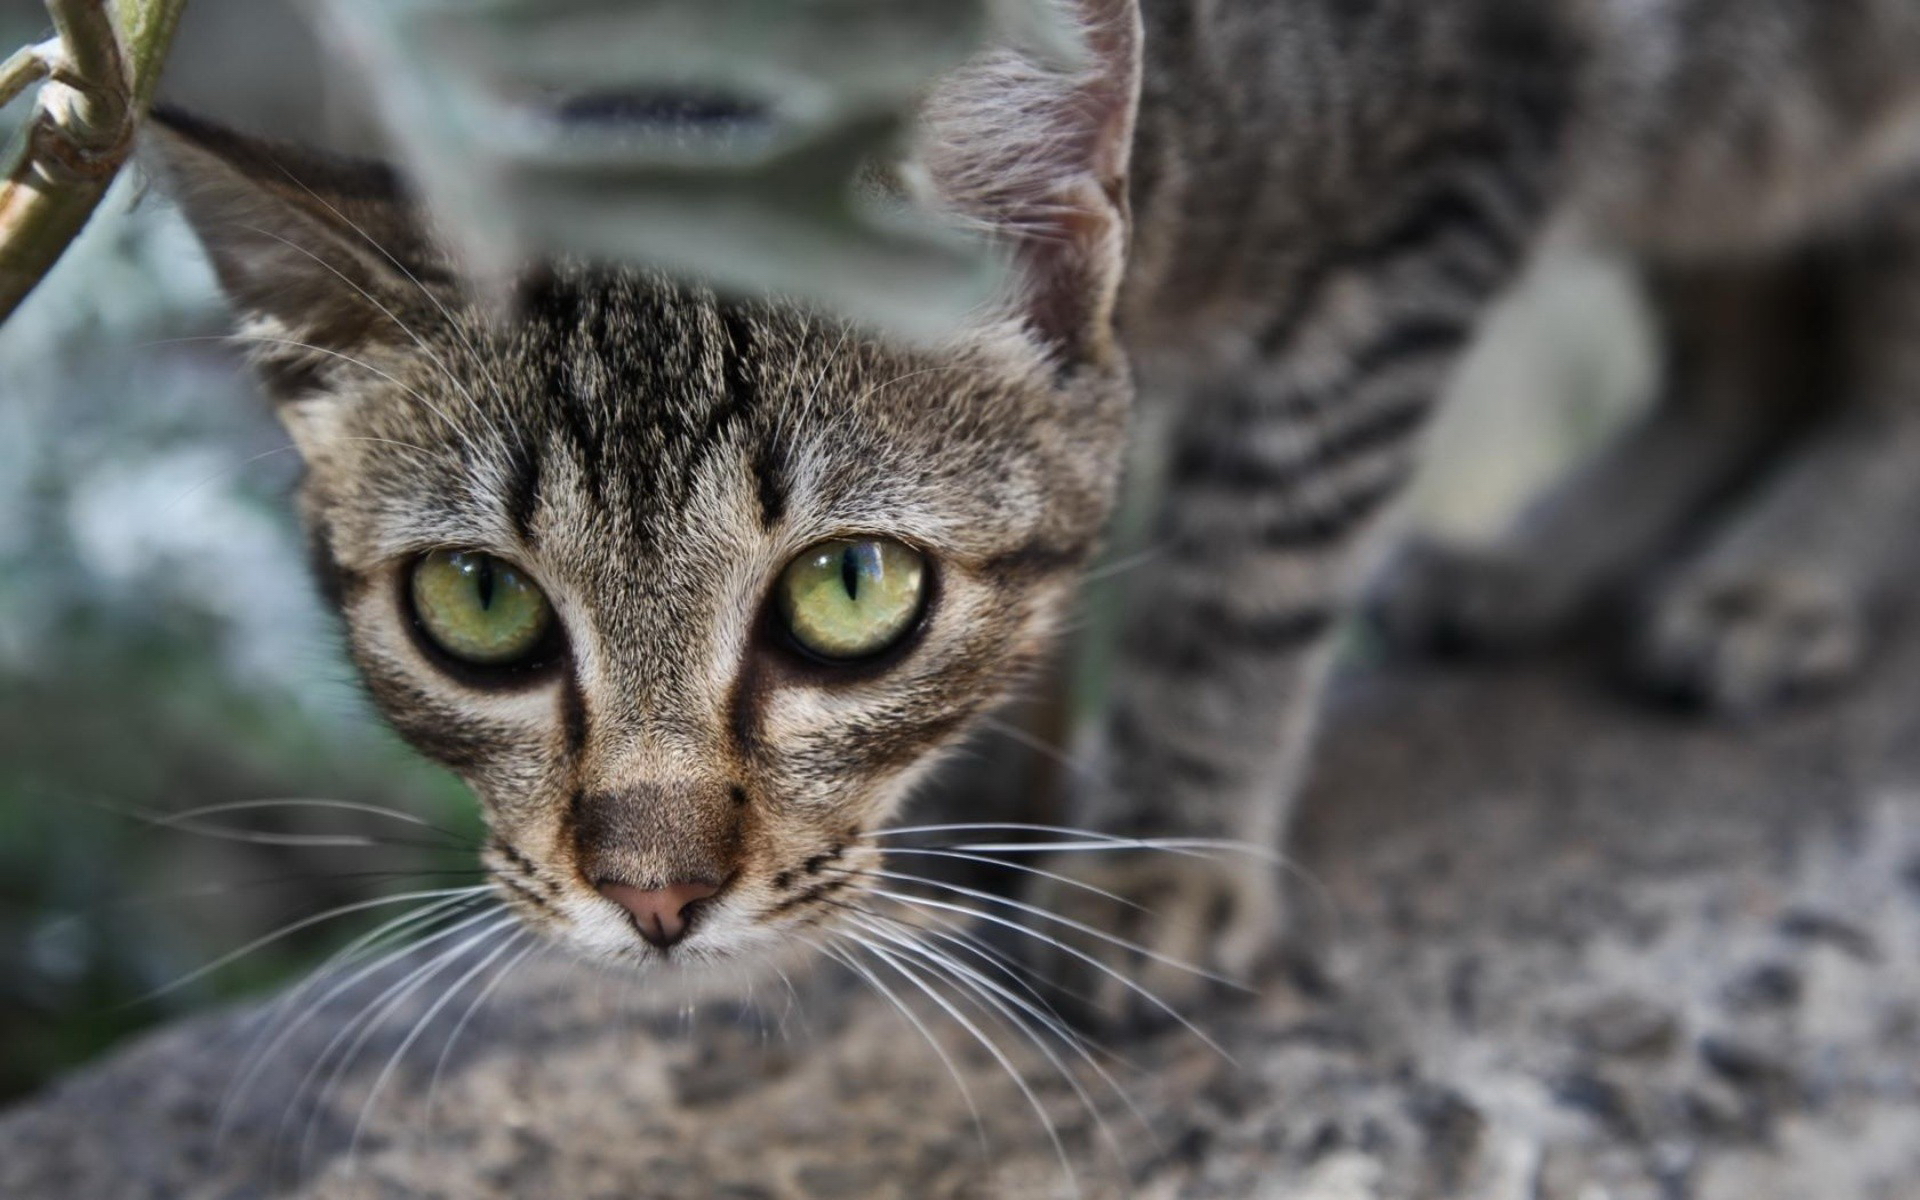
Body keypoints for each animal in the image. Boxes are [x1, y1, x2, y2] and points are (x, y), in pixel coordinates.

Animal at [149, 0, 1920, 1013]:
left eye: (853, 590)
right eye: (482, 607)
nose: (653, 899)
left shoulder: (1433, 184)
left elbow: (1254, 566)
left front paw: (1161, 855)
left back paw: (1781, 574)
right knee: (1747, 321)